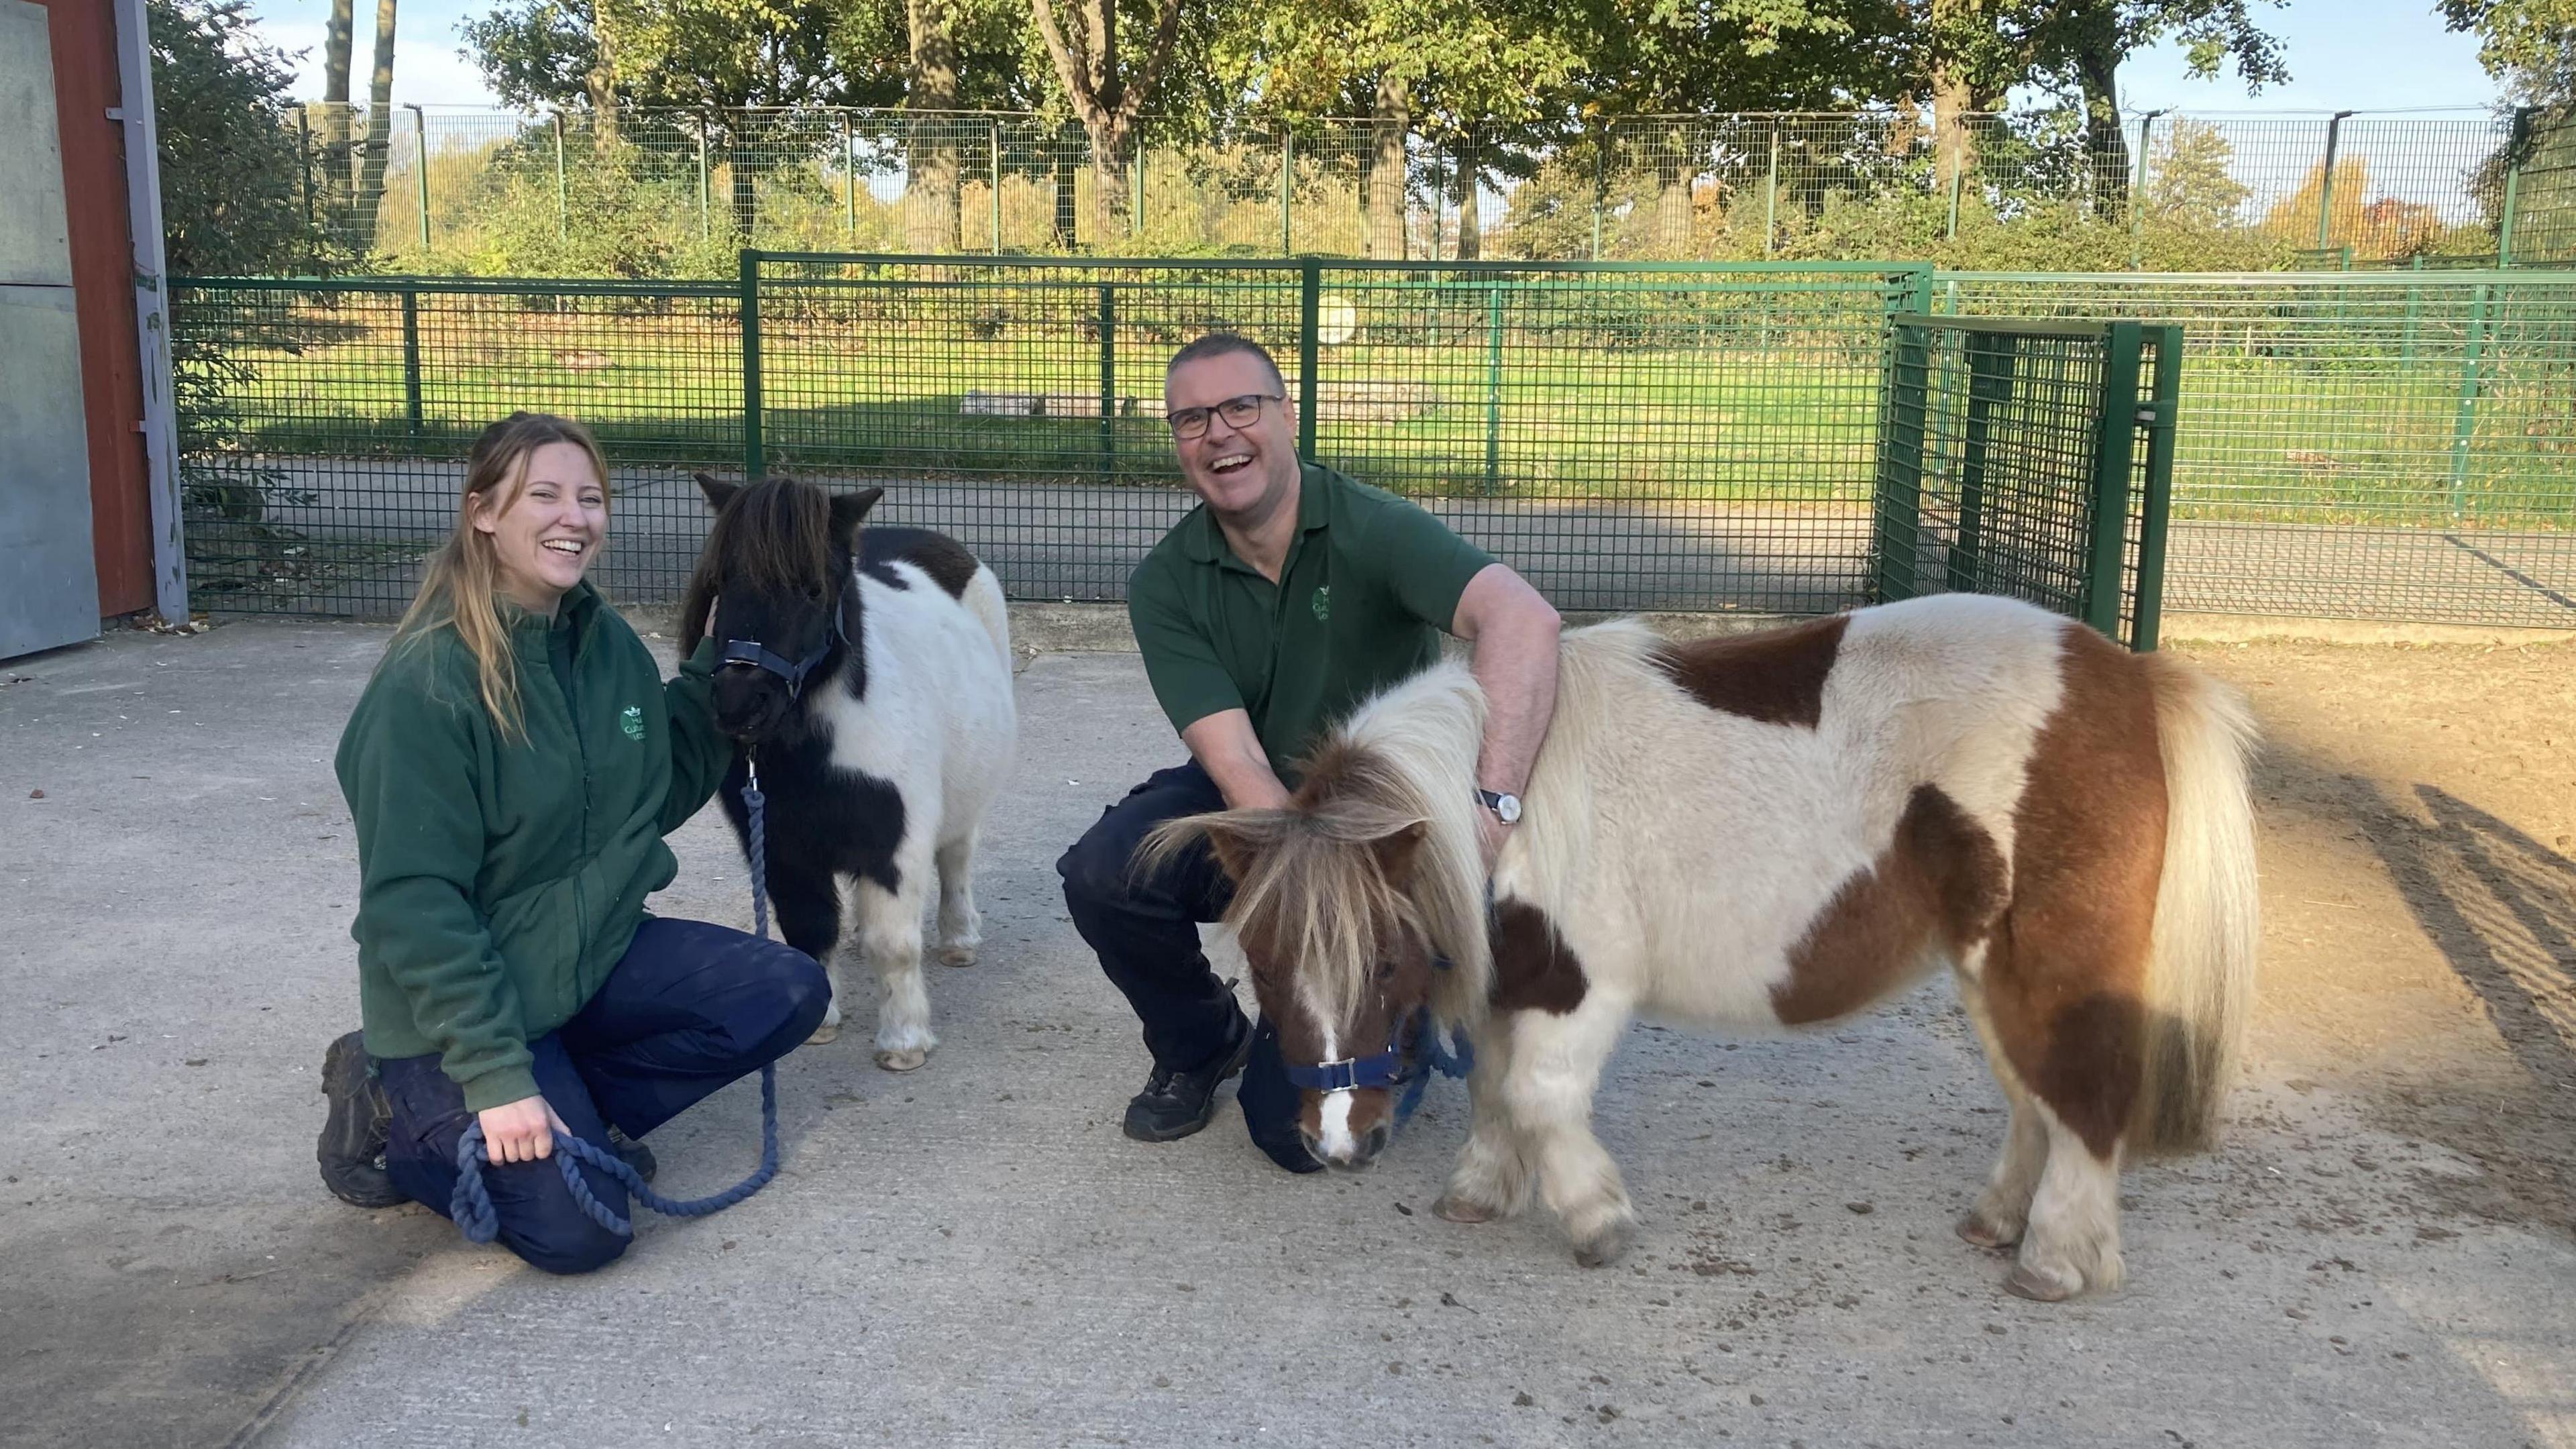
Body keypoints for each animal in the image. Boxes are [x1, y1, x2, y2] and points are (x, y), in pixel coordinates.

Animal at [685, 479, 1014, 1067]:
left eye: (814, 591)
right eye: (720, 582)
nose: (739, 706)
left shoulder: (895, 841)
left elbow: (896, 945)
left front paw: (904, 1043)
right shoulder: (780, 847)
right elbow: (809, 930)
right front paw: (820, 1022)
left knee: (956, 857)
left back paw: (958, 941)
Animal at [1154, 590, 2256, 1299]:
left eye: (1386, 962)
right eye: (1259, 966)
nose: (1340, 1145)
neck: (1501, 808)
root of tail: (2129, 675)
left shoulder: (1581, 986)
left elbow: (1539, 1097)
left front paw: (1596, 1221)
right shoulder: (1514, 984)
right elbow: (1495, 1089)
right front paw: (1482, 1191)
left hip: (2057, 959)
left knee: (2085, 1090)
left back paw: (2057, 1259)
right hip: (1987, 964)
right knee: (2033, 1092)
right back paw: (1999, 1222)